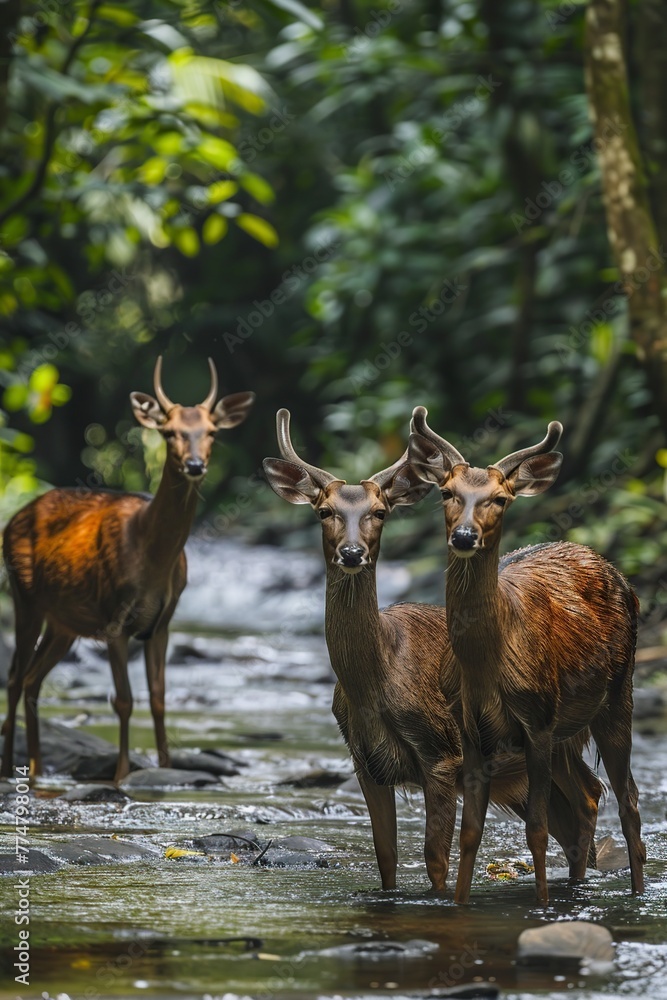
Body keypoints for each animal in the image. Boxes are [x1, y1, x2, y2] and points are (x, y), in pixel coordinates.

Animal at [1, 357, 254, 783]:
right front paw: (121, 776)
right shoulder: (114, 619)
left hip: (63, 622)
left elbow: (159, 698)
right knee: (16, 676)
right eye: (169, 432)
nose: (195, 465)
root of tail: (12, 520)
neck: (152, 558)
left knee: (34, 679)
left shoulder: (162, 623)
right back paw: (10, 768)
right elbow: (122, 700)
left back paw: (34, 769)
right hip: (25, 597)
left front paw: (167, 768)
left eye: (212, 431)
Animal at [263, 409, 604, 892]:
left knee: (589, 797)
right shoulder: (364, 762)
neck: (376, 681)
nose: (352, 552)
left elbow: (434, 857)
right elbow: (386, 857)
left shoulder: (440, 753)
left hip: (560, 738)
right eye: (324, 511)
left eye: (380, 512)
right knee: (573, 814)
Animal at [408, 407, 645, 904]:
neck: (486, 668)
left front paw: (541, 906)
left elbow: (535, 829)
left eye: (500, 498)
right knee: (590, 794)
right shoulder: (471, 730)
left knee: (628, 800)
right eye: (447, 492)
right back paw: (578, 886)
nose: (464, 536)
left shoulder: (536, 718)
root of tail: (621, 575)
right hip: (566, 727)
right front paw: (459, 904)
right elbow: (470, 833)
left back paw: (634, 894)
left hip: (617, 694)